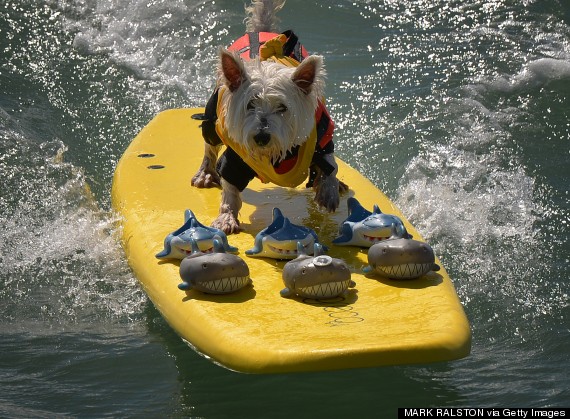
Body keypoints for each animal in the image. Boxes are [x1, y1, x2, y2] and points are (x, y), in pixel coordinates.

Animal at [192, 0, 346, 235]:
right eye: (250, 104)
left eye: (282, 107)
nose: (262, 137)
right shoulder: (235, 158)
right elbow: (230, 187)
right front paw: (226, 217)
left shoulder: (321, 132)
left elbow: (329, 162)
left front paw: (328, 190)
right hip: (213, 112)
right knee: (210, 140)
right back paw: (206, 173)